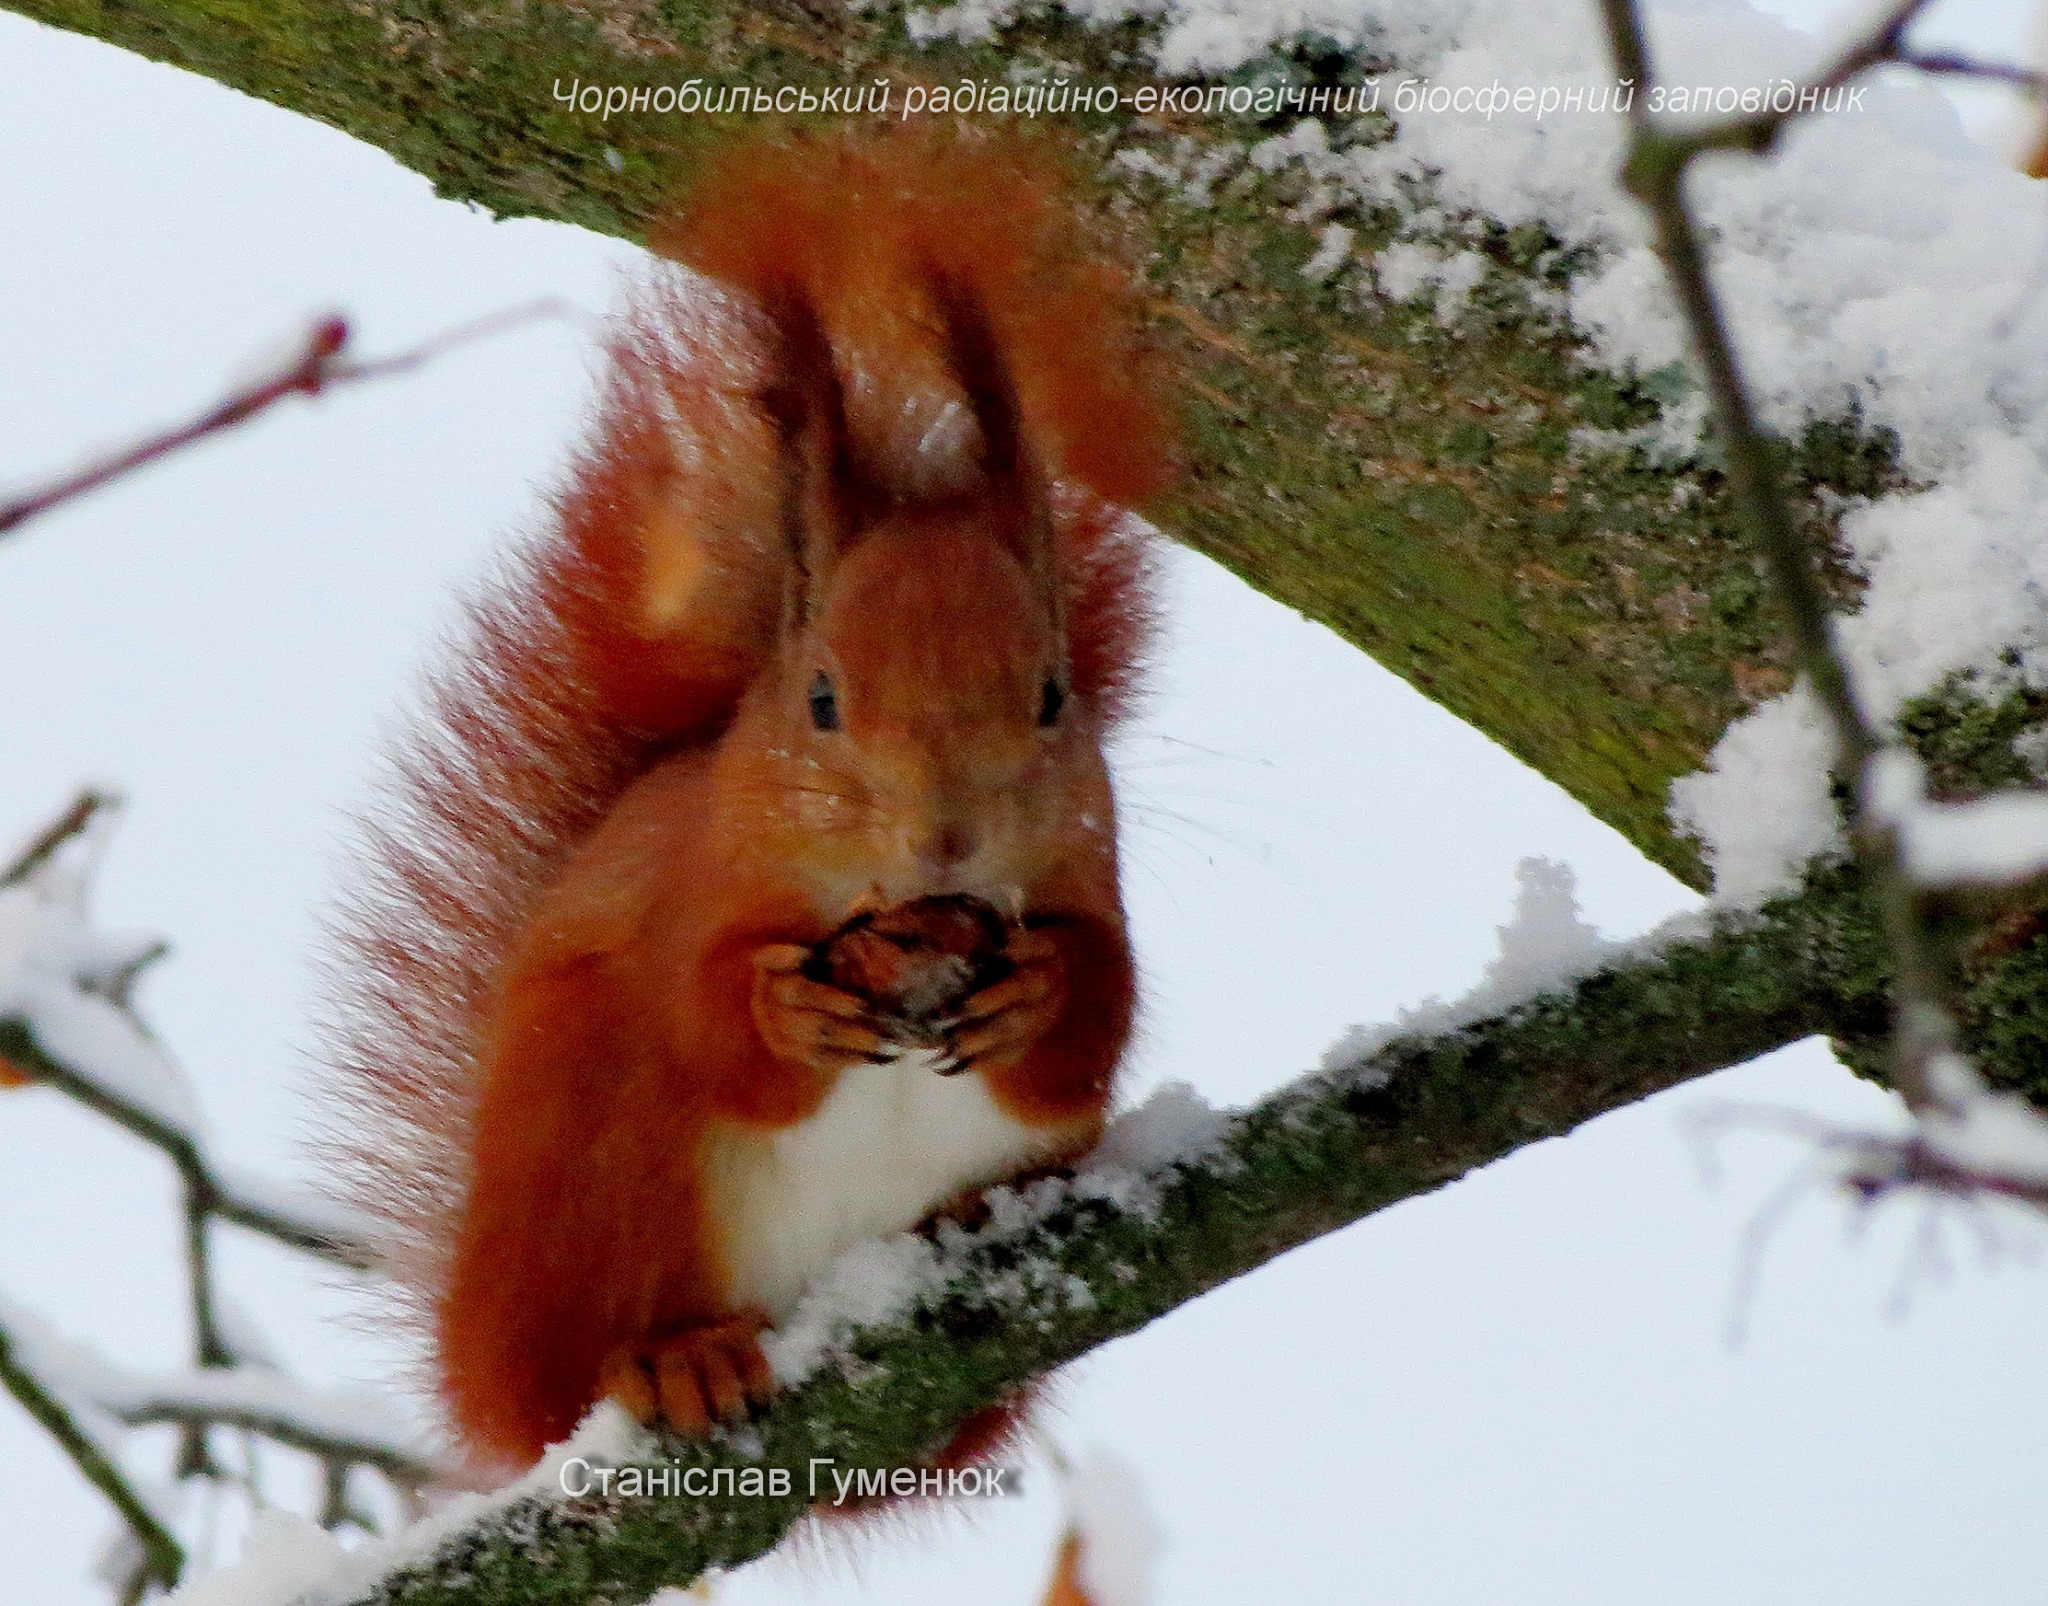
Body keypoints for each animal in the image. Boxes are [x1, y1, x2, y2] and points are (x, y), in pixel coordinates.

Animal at [325, 128, 1179, 1483]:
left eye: (1052, 694)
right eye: (821, 698)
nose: (942, 841)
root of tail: (485, 1365)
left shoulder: (1090, 878)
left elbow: (1098, 1014)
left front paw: (1039, 991)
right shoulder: (702, 877)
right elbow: (704, 1007)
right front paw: (783, 1009)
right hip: (598, 1166)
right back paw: (670, 1358)